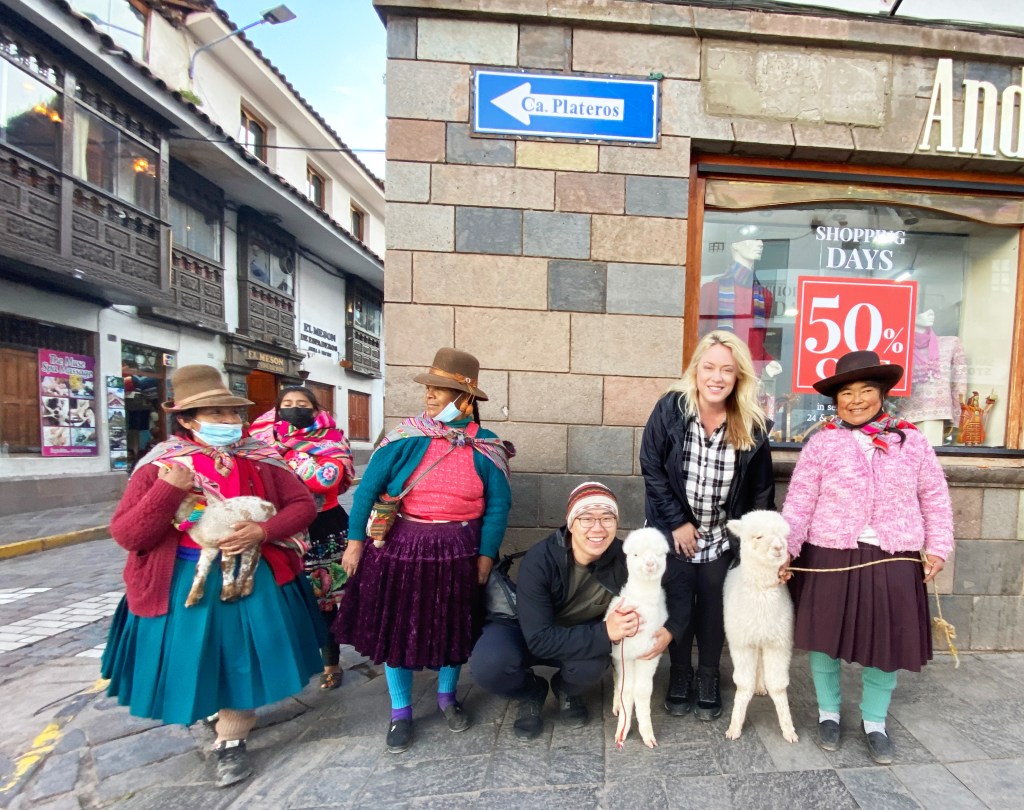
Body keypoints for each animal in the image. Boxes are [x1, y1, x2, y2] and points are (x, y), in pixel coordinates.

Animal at [606, 527, 669, 749]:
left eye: (659, 554)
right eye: (635, 554)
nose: (649, 564)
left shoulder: (649, 654)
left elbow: (641, 692)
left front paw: (647, 734)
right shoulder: (625, 654)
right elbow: (627, 692)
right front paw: (622, 731)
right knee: (617, 678)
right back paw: (616, 705)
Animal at [723, 510, 798, 743]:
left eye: (784, 535)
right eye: (758, 536)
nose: (779, 548)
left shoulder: (779, 643)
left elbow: (779, 686)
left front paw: (789, 730)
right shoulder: (742, 643)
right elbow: (743, 685)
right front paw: (734, 728)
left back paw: (761, 687)